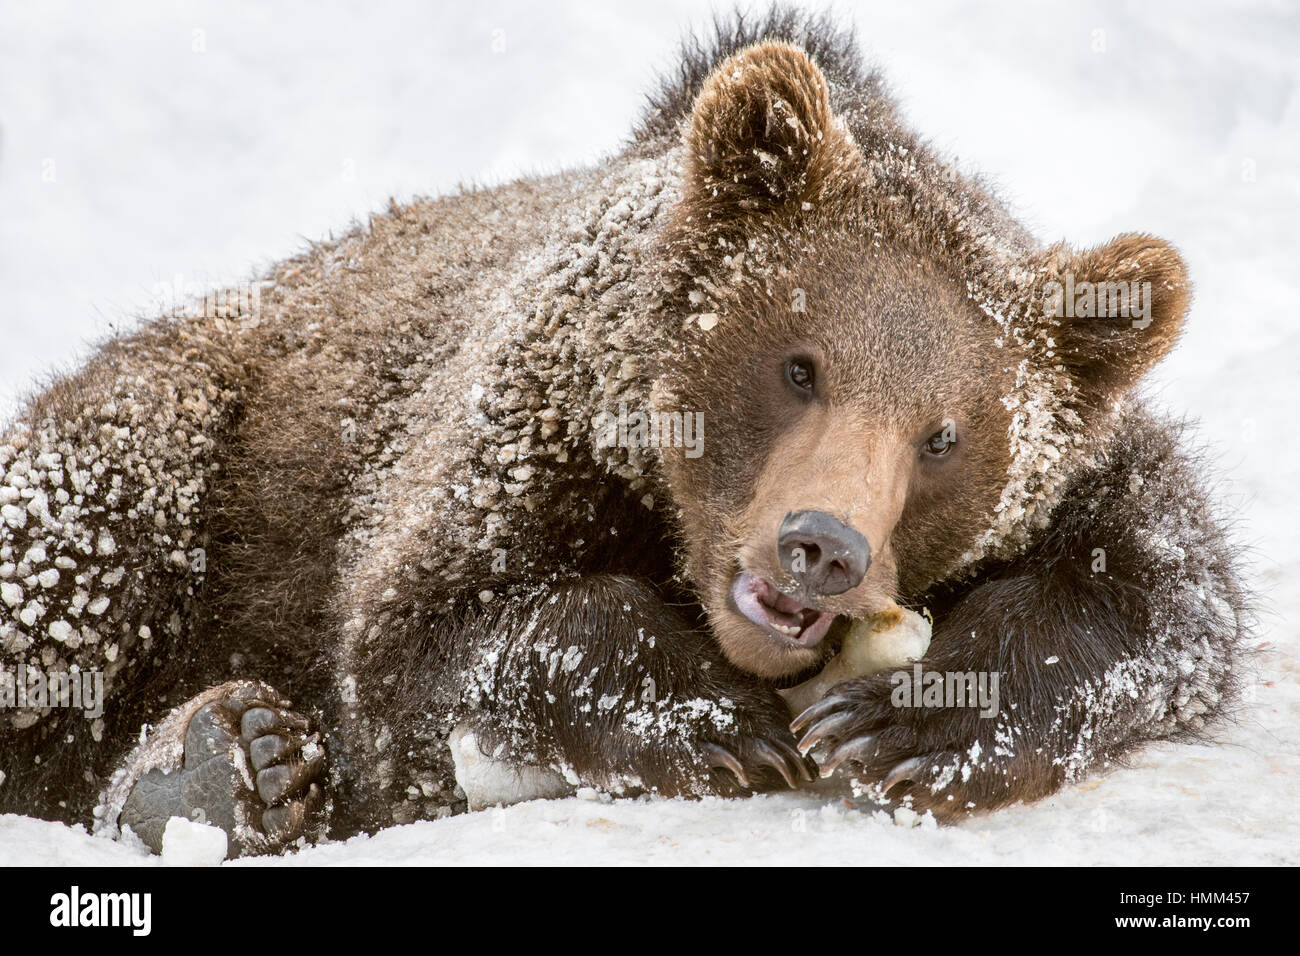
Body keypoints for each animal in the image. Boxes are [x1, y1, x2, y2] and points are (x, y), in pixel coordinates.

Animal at [0, 11, 1242, 858]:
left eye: (943, 434)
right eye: (798, 364)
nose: (821, 545)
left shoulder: (1100, 473)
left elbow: (1161, 591)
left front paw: (903, 720)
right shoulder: (505, 427)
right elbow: (431, 639)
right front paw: (719, 717)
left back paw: (224, 763)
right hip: (186, 430)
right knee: (76, 555)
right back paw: (223, 759)